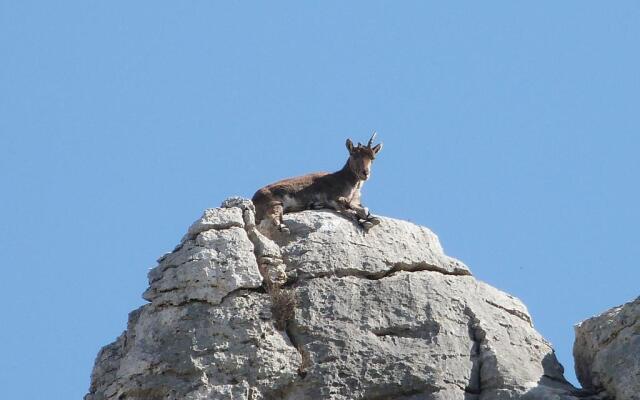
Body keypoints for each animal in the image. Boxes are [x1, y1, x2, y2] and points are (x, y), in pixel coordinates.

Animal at [251, 134, 382, 234]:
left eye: (373, 158)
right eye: (353, 155)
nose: (365, 173)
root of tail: (254, 199)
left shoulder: (355, 201)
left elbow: (362, 208)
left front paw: (371, 218)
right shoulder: (333, 198)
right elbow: (349, 209)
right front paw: (366, 218)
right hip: (274, 203)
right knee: (273, 216)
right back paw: (283, 227)